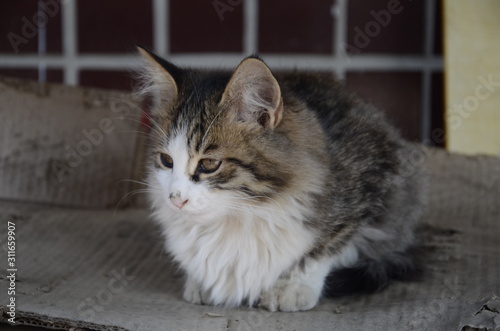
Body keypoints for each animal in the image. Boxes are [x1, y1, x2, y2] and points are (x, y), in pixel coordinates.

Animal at [137, 47, 426, 314]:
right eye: (166, 160)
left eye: (209, 164)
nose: (176, 199)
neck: (239, 217)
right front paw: (201, 282)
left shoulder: (371, 186)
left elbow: (324, 248)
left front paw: (292, 287)